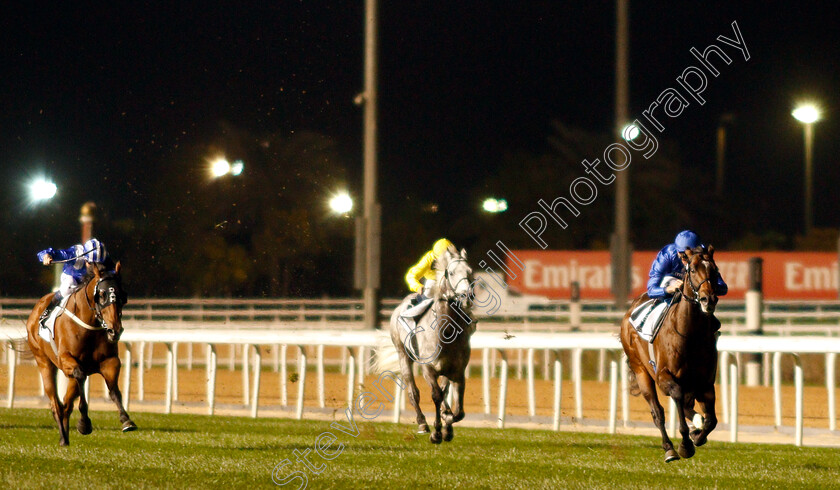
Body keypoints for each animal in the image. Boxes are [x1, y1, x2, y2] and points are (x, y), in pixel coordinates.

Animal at [25, 262, 135, 446]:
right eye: (102, 294)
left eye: (122, 295)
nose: (115, 330)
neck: (89, 326)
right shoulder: (66, 360)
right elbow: (80, 377)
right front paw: (84, 423)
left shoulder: (110, 361)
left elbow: (114, 391)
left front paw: (126, 420)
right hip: (44, 362)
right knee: (56, 404)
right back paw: (63, 438)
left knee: (66, 404)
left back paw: (65, 437)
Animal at [378, 247, 476, 442]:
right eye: (451, 273)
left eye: (470, 271)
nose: (467, 297)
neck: (445, 331)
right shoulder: (428, 369)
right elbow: (436, 395)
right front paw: (436, 432)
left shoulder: (457, 370)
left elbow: (459, 411)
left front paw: (447, 424)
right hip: (403, 355)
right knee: (413, 392)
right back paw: (422, 423)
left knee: (444, 391)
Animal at [616, 247, 720, 462]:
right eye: (693, 270)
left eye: (715, 271)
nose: (709, 299)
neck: (690, 334)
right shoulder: (664, 377)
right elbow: (677, 398)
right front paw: (686, 445)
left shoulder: (705, 383)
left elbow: (711, 421)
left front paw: (697, 435)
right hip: (641, 371)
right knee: (658, 412)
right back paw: (669, 449)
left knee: (691, 409)